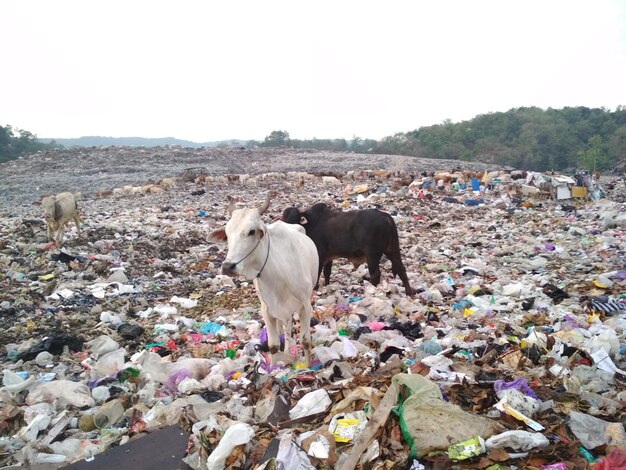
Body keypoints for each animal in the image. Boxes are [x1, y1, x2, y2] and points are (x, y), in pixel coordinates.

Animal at [208, 193, 316, 366]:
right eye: (227, 233)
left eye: (251, 231)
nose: (228, 266)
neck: (279, 273)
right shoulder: (267, 309)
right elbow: (273, 345)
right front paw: (273, 368)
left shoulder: (306, 306)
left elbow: (305, 340)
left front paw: (308, 365)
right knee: (285, 330)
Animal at [280, 202, 412, 294]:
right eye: (284, 218)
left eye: (295, 219)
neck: (310, 224)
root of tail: (386, 216)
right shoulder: (328, 257)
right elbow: (327, 273)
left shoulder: (319, 254)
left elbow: (317, 273)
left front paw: (315, 289)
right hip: (392, 249)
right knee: (401, 269)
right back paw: (409, 293)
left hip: (373, 254)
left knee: (375, 274)